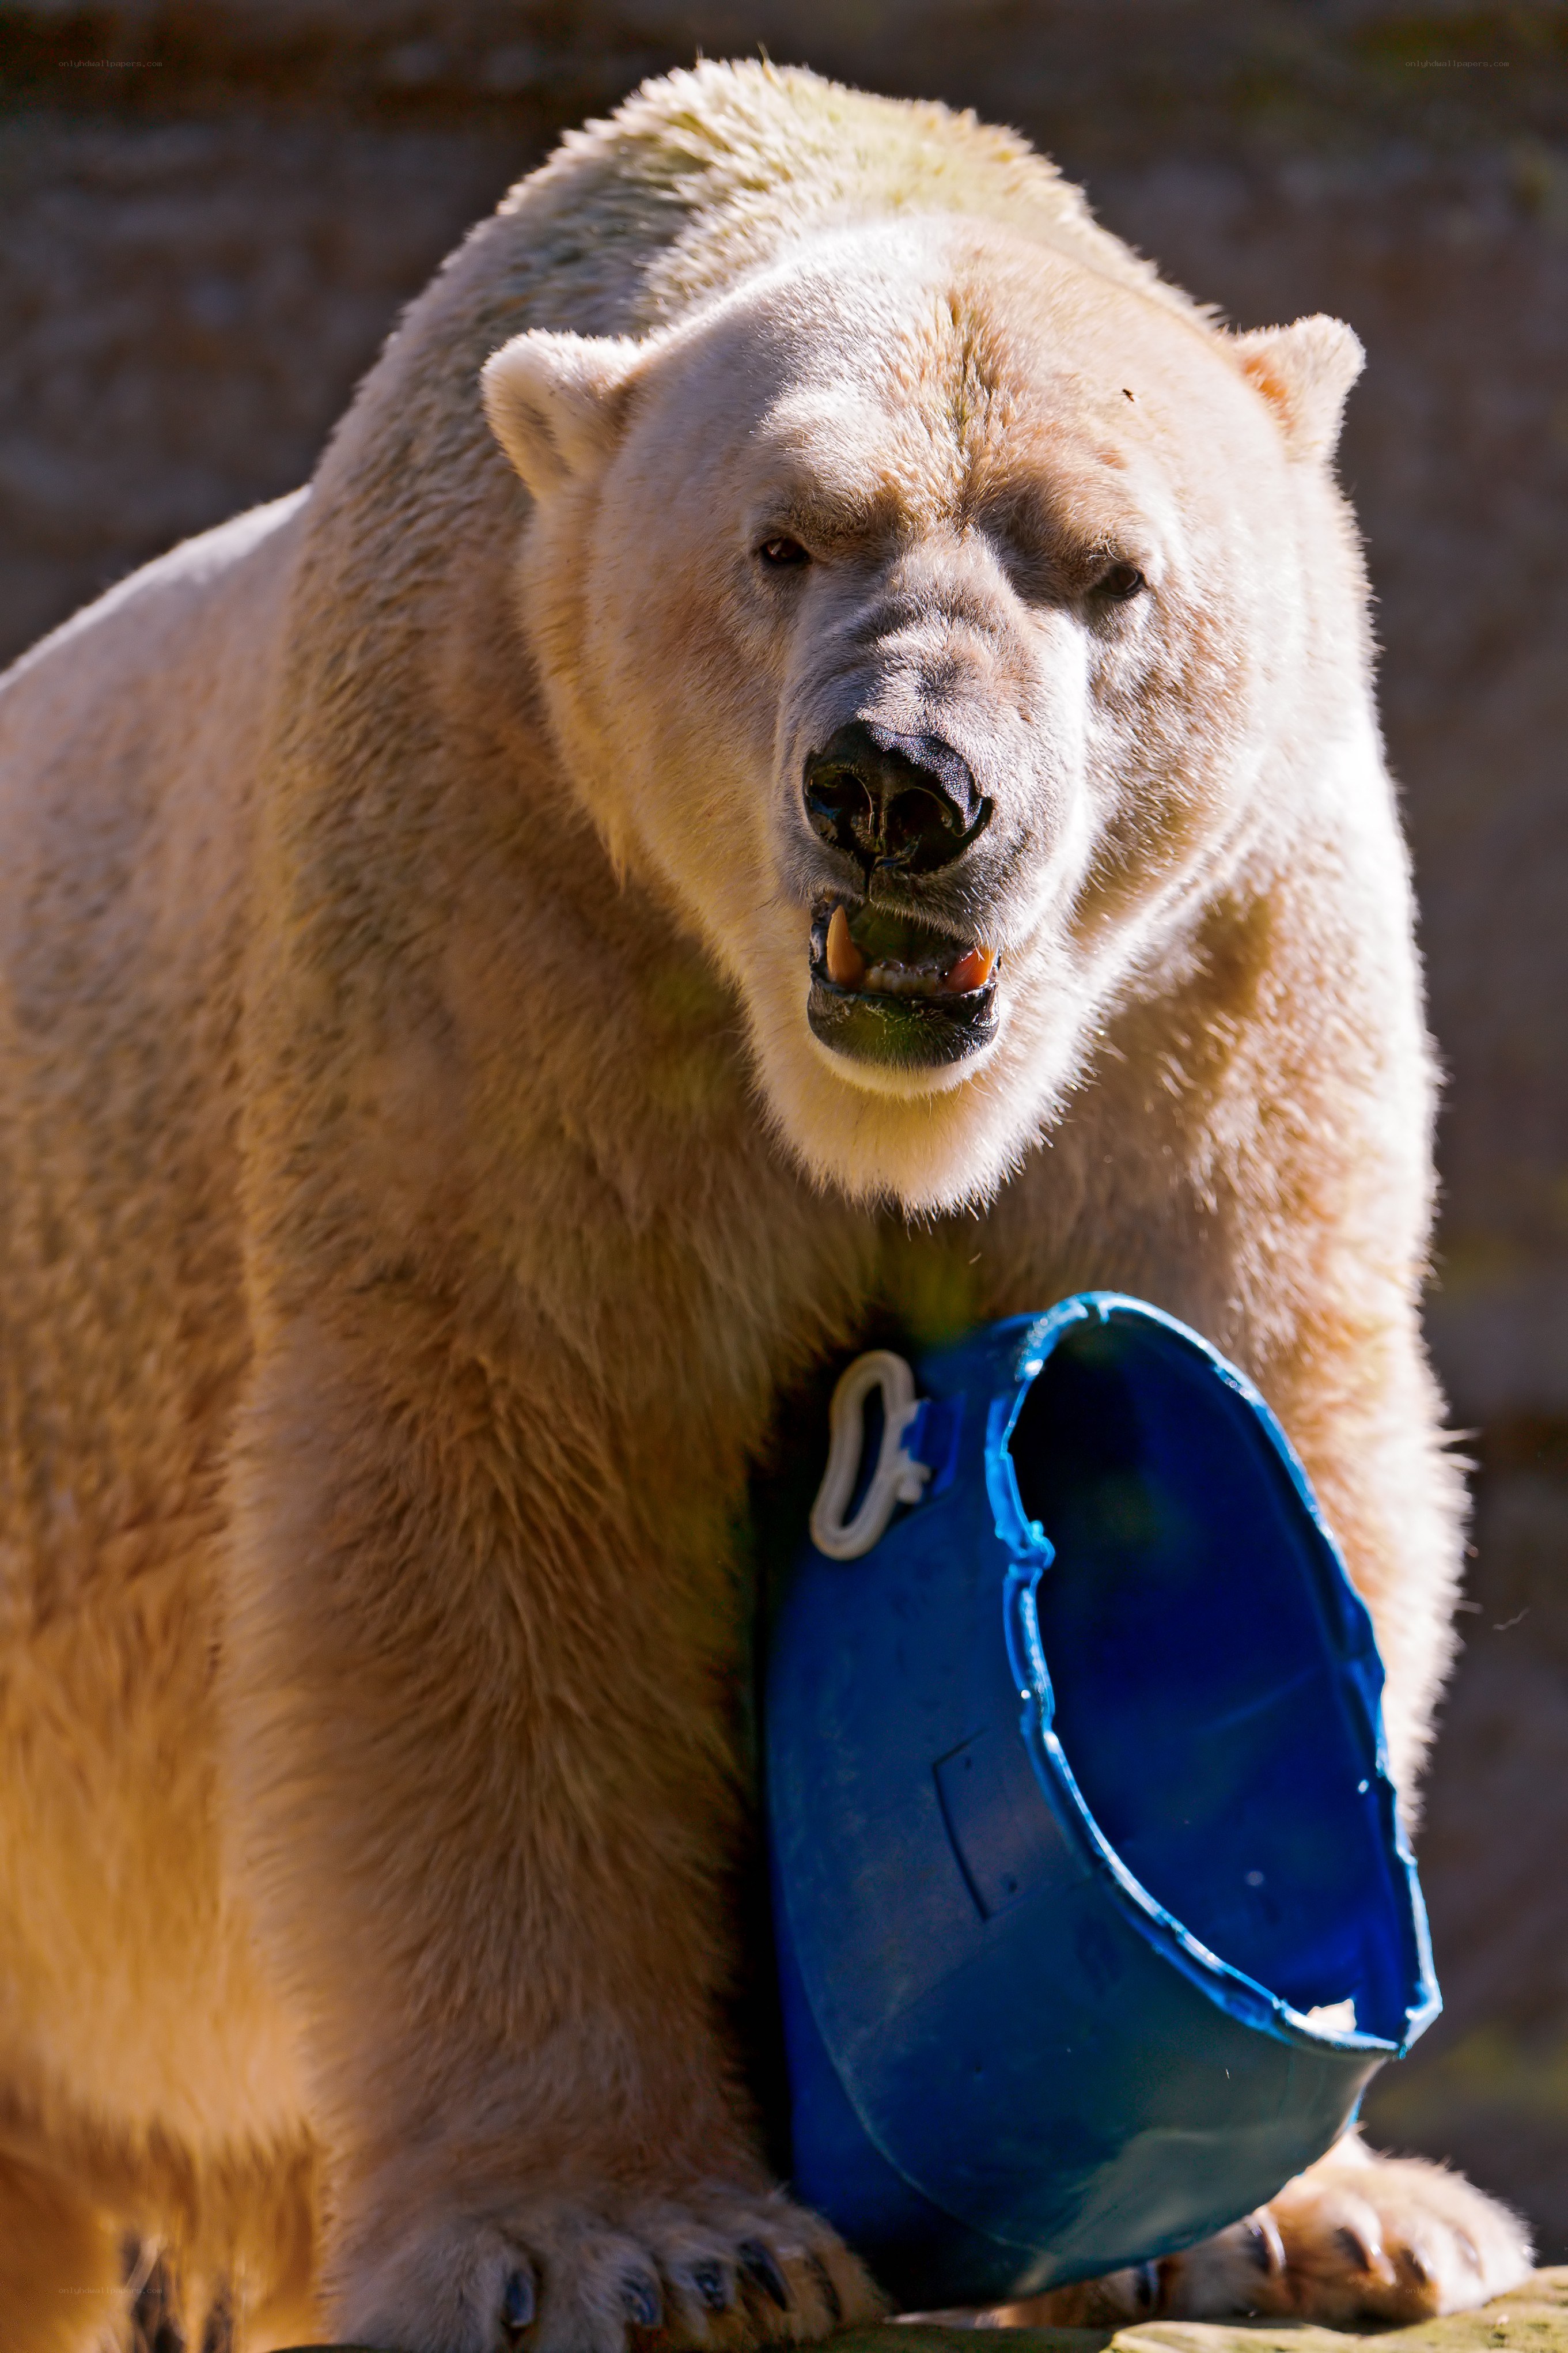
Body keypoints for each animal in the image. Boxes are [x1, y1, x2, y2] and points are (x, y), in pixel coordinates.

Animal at [0, 55, 1534, 2353]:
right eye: (782, 541)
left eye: (1109, 570)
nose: (899, 785)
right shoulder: (510, 878)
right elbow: (505, 1475)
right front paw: (634, 2244)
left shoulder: (1219, 978)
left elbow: (1271, 1408)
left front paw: (1328, 2220)